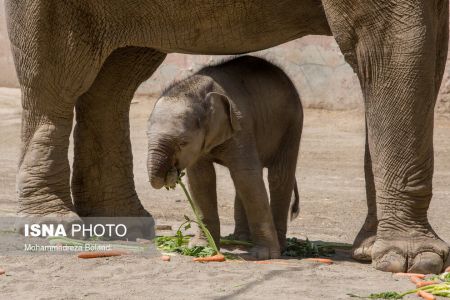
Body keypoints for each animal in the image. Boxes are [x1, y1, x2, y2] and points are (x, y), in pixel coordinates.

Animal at [148, 56, 302, 260]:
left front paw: (263, 255)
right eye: (146, 135)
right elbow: (201, 179)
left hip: (292, 125)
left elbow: (246, 175)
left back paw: (277, 246)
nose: (171, 175)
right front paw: (200, 247)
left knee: (277, 176)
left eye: (183, 142)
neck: (199, 89)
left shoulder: (240, 125)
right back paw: (240, 241)